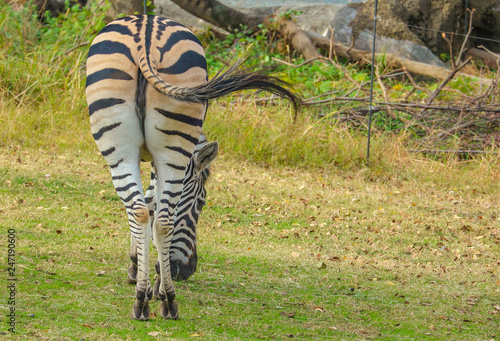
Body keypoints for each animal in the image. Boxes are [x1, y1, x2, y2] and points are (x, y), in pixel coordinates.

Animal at [86, 14, 298, 320]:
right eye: (202, 203)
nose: (188, 269)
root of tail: (144, 32)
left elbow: (147, 202)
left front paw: (137, 268)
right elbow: (154, 204)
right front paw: (151, 277)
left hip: (124, 146)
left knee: (143, 213)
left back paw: (148, 300)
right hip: (161, 144)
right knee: (160, 219)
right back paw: (163, 301)